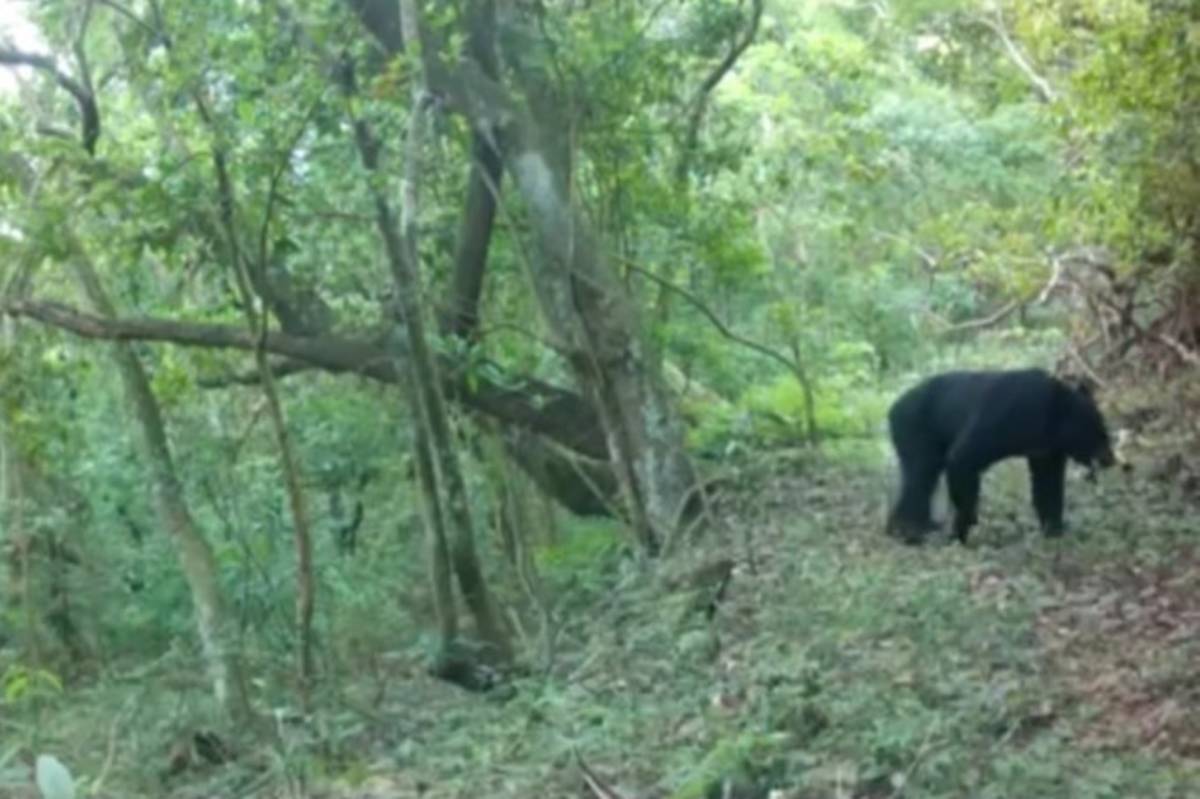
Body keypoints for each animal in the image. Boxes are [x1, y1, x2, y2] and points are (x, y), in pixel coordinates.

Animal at [883, 369, 1113, 544]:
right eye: (1098, 432)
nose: (1110, 459)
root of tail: (893, 408)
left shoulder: (1046, 451)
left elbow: (1047, 486)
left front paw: (1055, 531)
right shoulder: (1003, 416)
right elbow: (962, 458)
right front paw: (962, 534)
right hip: (915, 429)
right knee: (920, 476)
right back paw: (911, 530)